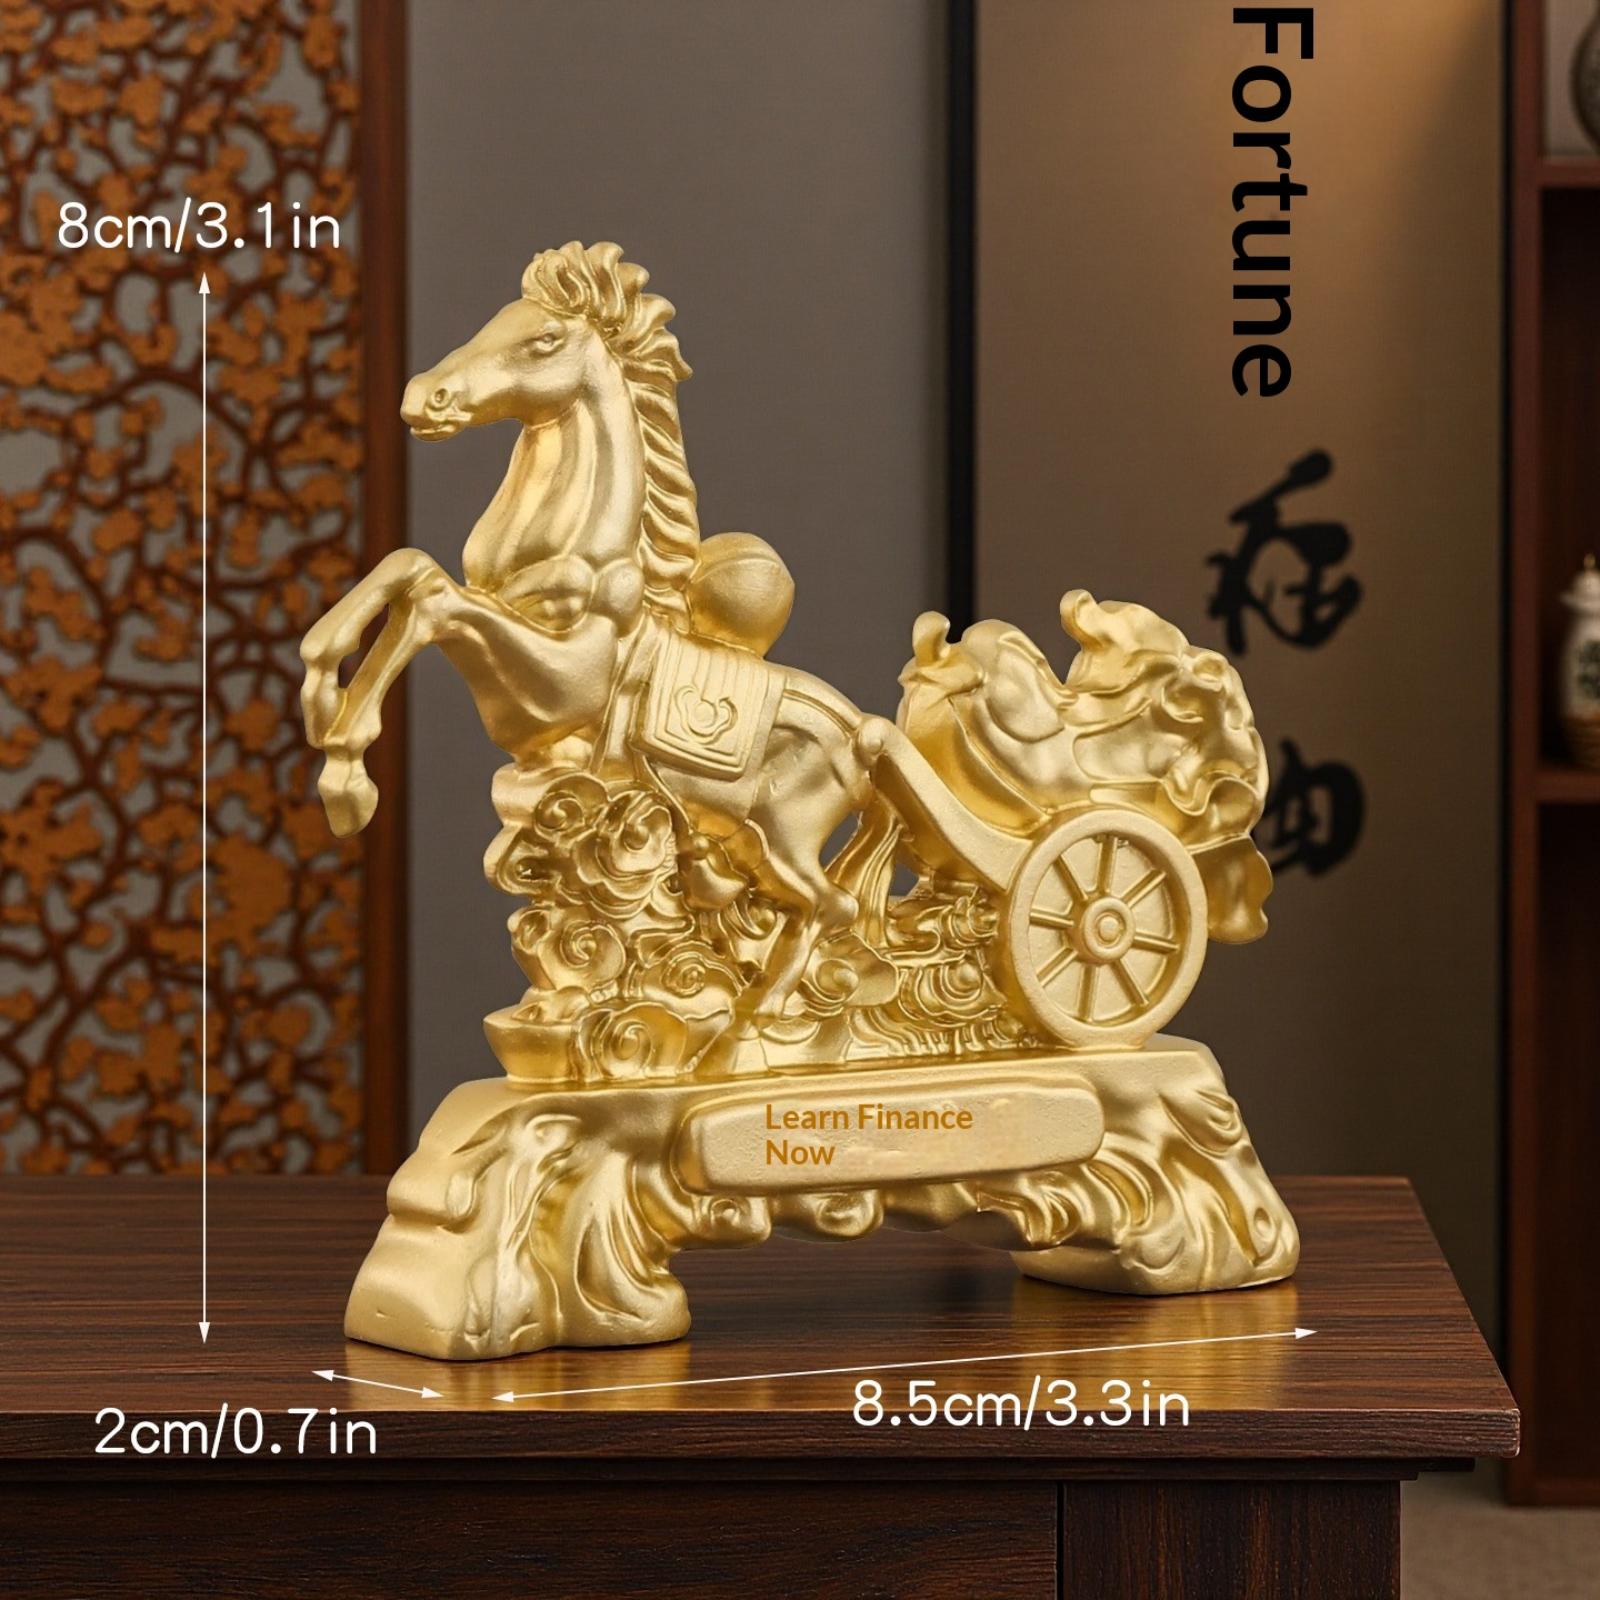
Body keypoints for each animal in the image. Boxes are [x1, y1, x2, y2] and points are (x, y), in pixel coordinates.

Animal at [299, 242, 870, 1017]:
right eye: (494, 320)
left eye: (542, 339)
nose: (425, 398)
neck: (572, 570)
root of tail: (862, 733)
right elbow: (407, 567)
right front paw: (319, 690)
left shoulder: (548, 688)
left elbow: (431, 599)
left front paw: (346, 777)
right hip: (747, 836)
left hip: (786, 836)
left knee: (832, 907)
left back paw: (757, 1016)